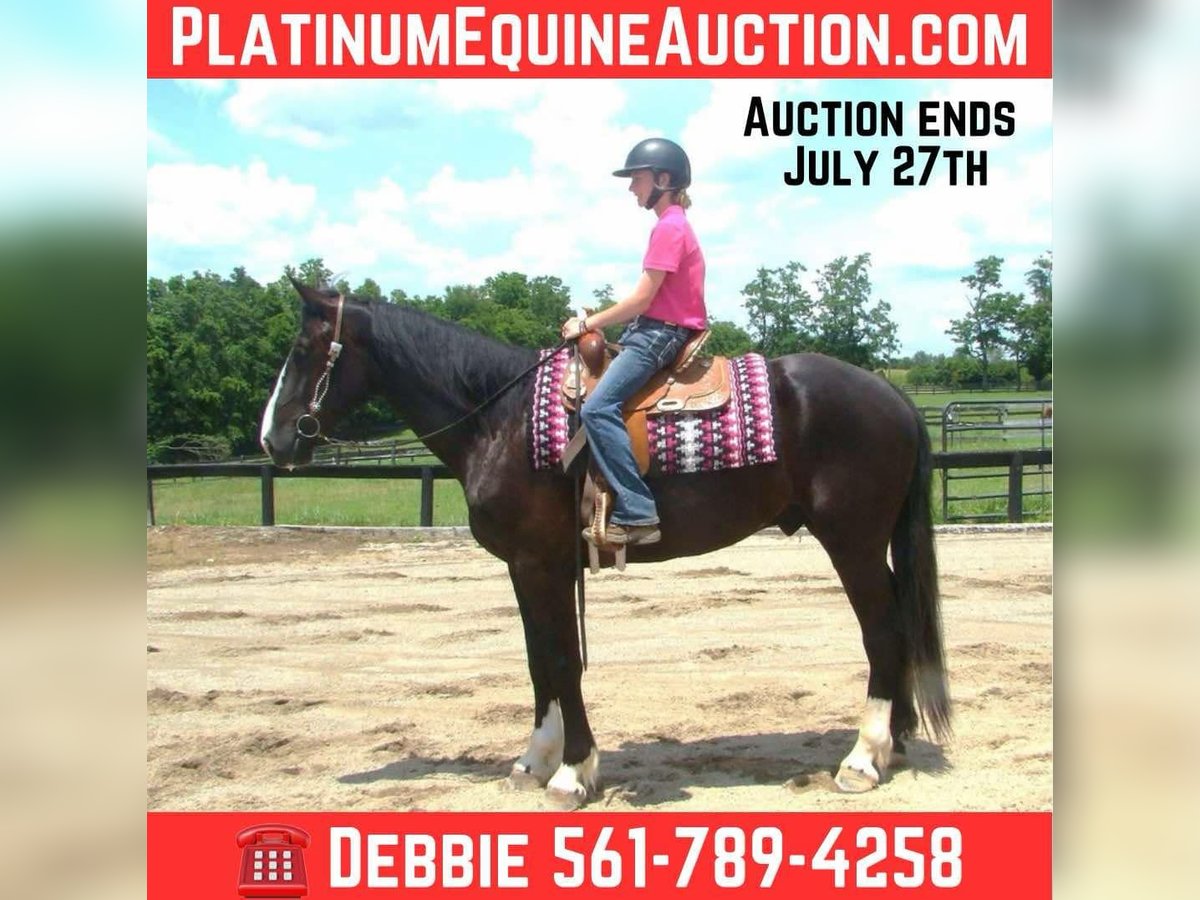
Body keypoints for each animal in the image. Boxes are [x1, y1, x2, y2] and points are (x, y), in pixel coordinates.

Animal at [259, 279, 951, 808]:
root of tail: (891, 392)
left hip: (853, 544)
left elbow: (563, 660)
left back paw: (862, 759)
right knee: (899, 630)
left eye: (303, 348)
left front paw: (572, 772)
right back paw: (895, 741)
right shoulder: (530, 567)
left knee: (882, 632)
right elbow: (540, 659)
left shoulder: (540, 563)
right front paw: (535, 760)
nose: (272, 440)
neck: (502, 419)